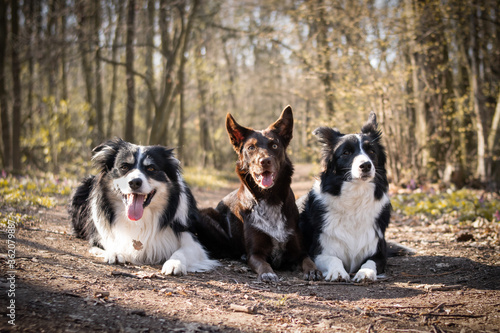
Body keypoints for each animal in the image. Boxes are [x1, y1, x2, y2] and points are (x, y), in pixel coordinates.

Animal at [193, 105, 322, 282]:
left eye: (274, 146)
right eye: (251, 148)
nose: (265, 161)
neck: (270, 198)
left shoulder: (299, 250)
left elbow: (307, 259)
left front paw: (313, 270)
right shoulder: (255, 253)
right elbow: (263, 264)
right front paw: (268, 273)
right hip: (204, 215)